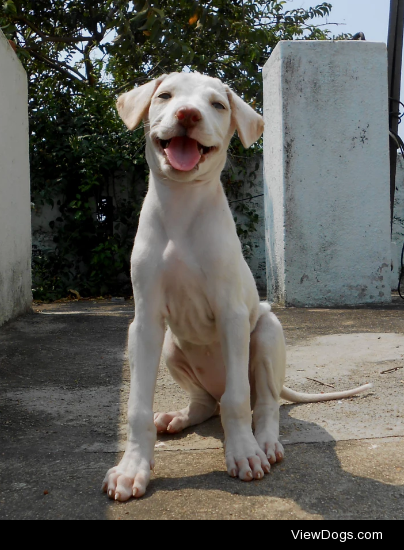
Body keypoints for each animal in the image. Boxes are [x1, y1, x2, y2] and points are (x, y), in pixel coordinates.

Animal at [102, 71, 370, 502]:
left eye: (217, 104)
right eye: (165, 95)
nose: (188, 114)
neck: (182, 210)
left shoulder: (231, 316)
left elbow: (238, 401)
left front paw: (243, 453)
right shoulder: (144, 322)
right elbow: (137, 407)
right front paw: (131, 469)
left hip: (266, 333)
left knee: (262, 404)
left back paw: (266, 442)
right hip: (172, 345)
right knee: (206, 402)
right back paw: (179, 416)